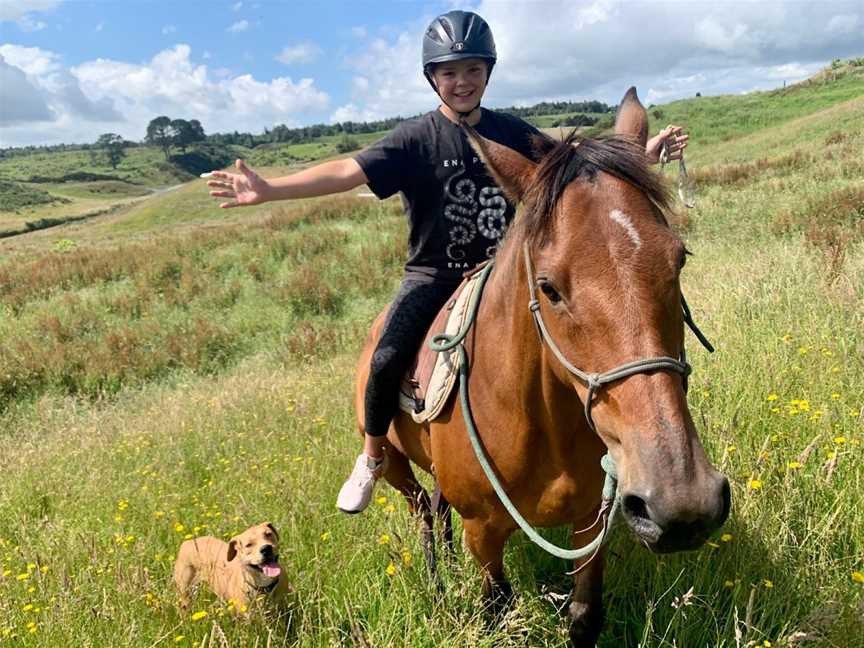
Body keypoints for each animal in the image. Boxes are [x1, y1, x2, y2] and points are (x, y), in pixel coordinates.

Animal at [356, 88, 728, 644]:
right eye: (549, 288)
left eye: (678, 259)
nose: (683, 505)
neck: (534, 420)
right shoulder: (483, 533)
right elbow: (496, 608)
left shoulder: (593, 521)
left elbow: (584, 615)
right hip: (395, 464)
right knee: (423, 512)